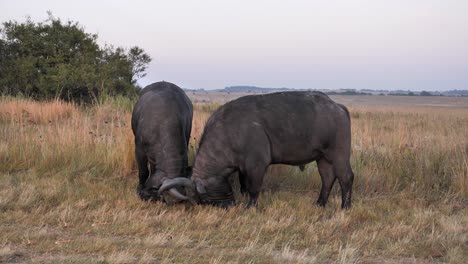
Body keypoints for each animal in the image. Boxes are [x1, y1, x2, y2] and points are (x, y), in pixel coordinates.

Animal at [159, 91, 352, 208]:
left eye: (204, 199)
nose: (228, 205)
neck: (229, 131)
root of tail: (338, 107)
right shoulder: (243, 168)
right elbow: (244, 186)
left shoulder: (257, 165)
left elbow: (254, 188)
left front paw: (250, 206)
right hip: (323, 158)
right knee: (327, 178)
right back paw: (320, 203)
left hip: (339, 155)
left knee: (346, 177)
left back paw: (345, 206)